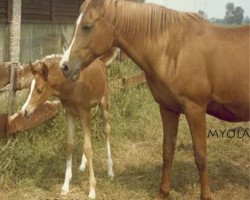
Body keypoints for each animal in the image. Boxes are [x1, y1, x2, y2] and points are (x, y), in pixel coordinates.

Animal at [20, 54, 116, 199]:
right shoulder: (70, 113)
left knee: (107, 131)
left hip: (104, 103)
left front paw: (92, 190)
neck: (71, 87)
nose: (25, 111)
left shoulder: (84, 112)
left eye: (39, 90)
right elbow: (70, 145)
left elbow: (88, 148)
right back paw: (83, 165)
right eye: (29, 89)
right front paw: (65, 186)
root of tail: (100, 61)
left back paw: (110, 171)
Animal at [59, 0, 250, 199]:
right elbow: (167, 151)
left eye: (87, 26)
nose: (64, 67)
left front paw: (205, 195)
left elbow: (201, 156)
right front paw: (163, 191)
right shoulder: (168, 108)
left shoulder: (195, 109)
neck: (175, 49)